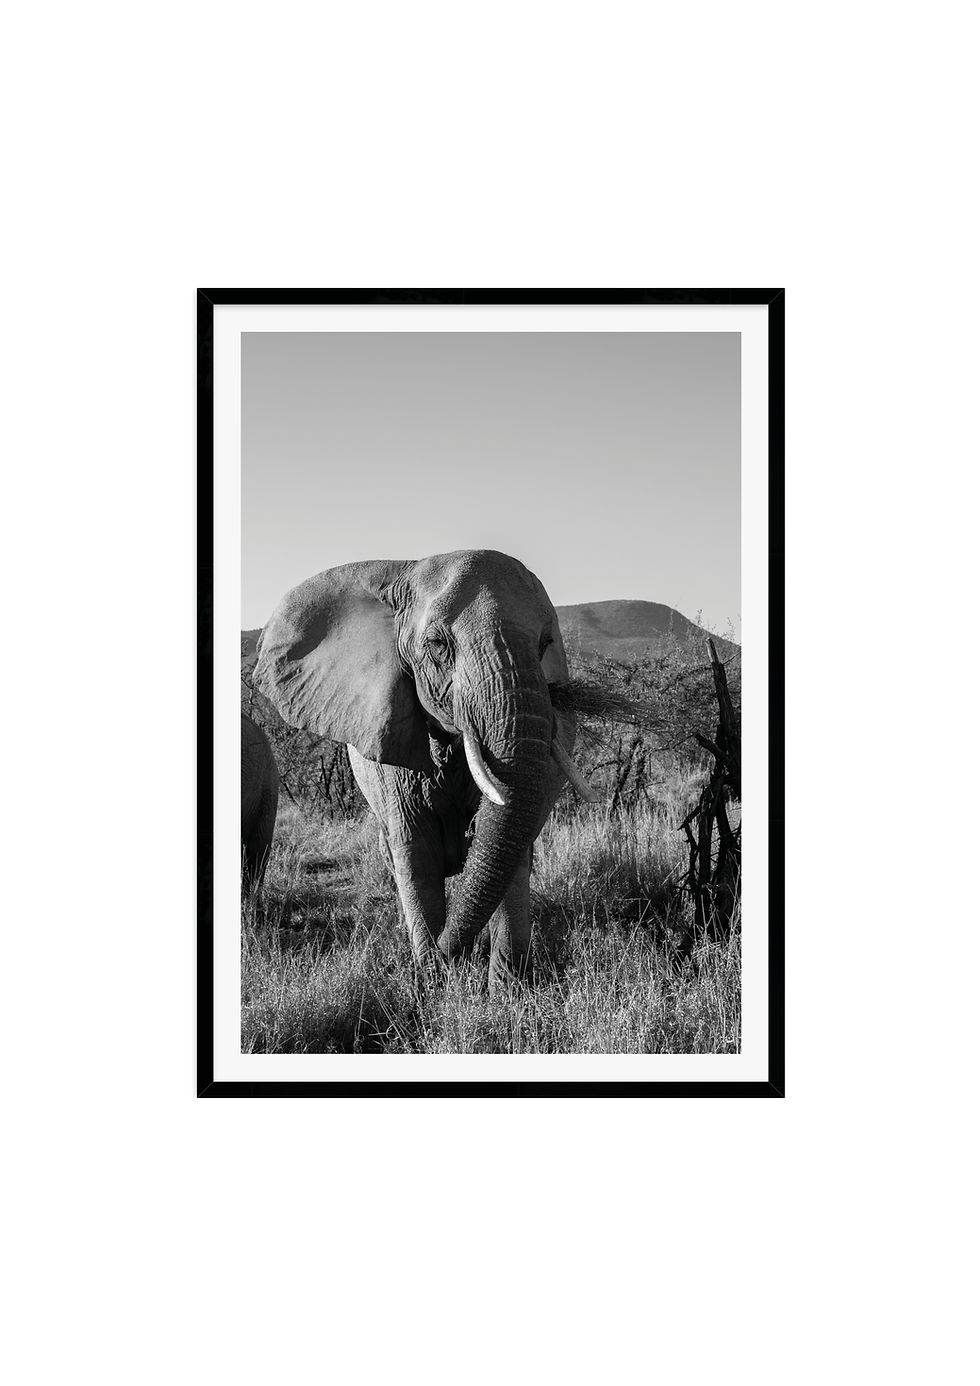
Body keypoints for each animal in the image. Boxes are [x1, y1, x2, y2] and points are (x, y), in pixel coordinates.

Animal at [254, 549, 598, 987]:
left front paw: (507, 990)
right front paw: (434, 984)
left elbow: (512, 847)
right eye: (437, 645)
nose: (448, 956)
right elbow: (415, 852)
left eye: (544, 645)